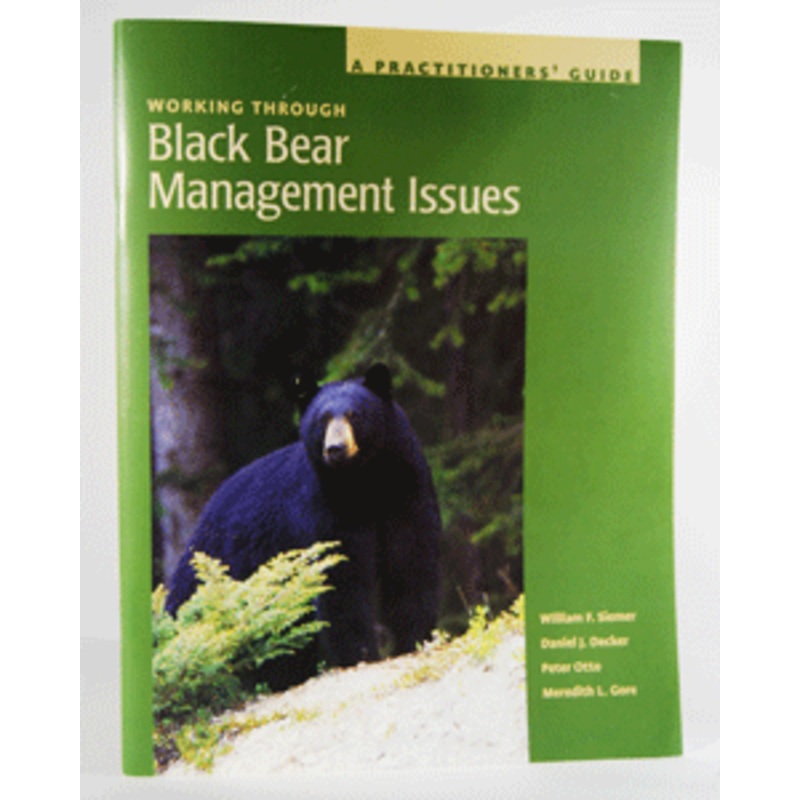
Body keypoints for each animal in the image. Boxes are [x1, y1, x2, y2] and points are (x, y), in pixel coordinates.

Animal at [165, 363, 442, 691]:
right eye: (323, 418)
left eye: (355, 414)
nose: (336, 448)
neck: (363, 484)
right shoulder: (326, 509)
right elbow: (341, 576)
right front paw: (361, 654)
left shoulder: (406, 495)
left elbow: (411, 565)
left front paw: (414, 640)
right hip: (223, 561)